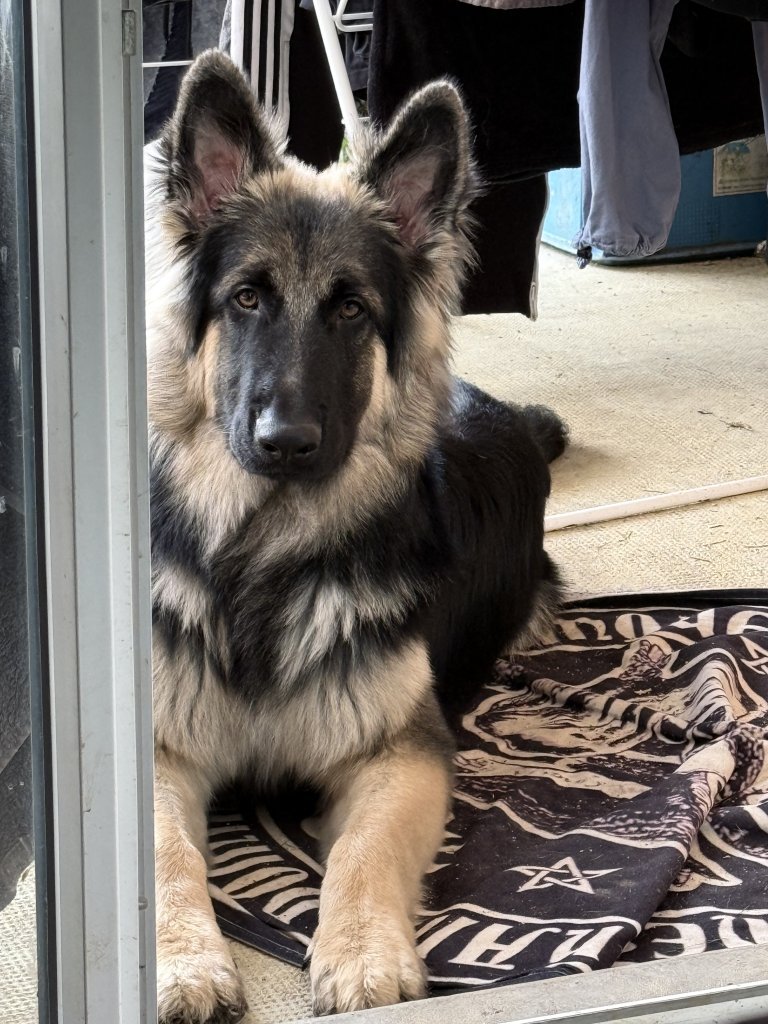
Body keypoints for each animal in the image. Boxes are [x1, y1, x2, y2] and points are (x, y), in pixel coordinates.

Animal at [146, 49, 567, 1023]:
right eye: (247, 298)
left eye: (350, 311)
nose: (286, 442)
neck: (264, 557)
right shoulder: (159, 751)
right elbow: (168, 856)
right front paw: (183, 962)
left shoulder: (397, 756)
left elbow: (363, 855)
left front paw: (364, 955)